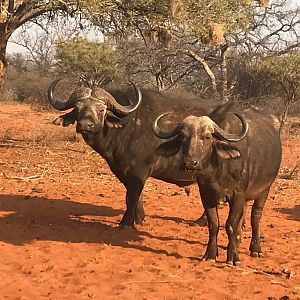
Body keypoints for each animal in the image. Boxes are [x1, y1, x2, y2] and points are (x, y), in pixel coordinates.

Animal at [48, 79, 218, 227]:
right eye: (77, 108)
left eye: (101, 109)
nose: (85, 125)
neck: (128, 125)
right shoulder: (126, 172)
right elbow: (136, 196)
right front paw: (139, 218)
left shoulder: (139, 172)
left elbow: (131, 197)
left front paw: (127, 222)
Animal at [154, 104, 282, 264]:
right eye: (182, 136)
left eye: (207, 137)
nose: (190, 163)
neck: (218, 170)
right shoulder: (206, 195)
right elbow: (214, 224)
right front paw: (210, 254)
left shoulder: (237, 194)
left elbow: (231, 224)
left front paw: (233, 256)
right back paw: (238, 241)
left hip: (265, 189)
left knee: (255, 217)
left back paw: (255, 249)